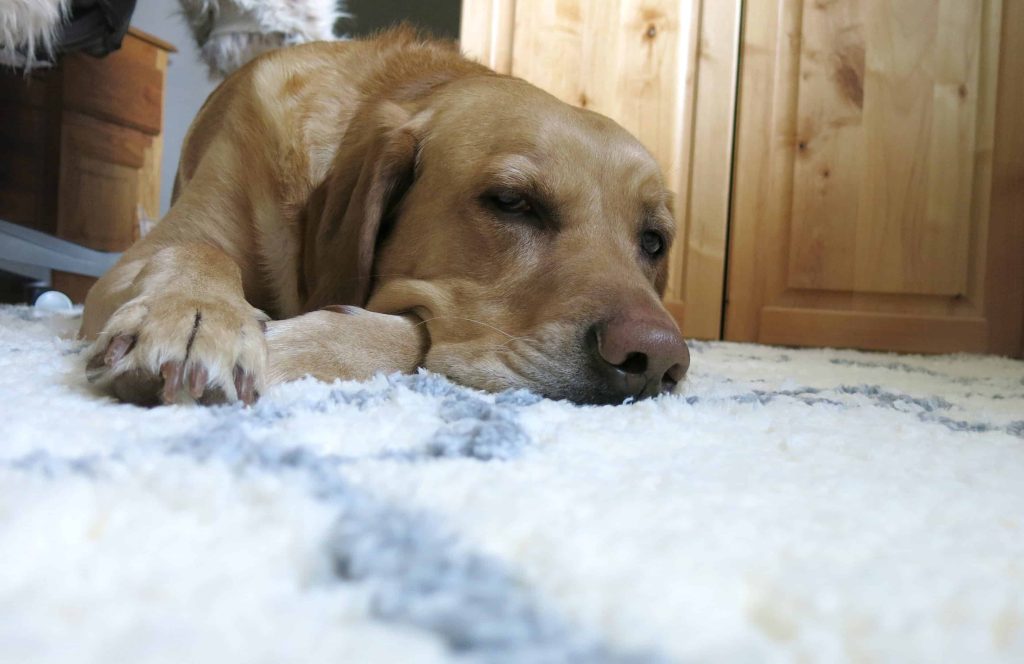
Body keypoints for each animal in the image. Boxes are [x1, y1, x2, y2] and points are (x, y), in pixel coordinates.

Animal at [79, 27, 688, 403]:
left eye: (653, 241)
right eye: (513, 202)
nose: (660, 360)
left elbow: (405, 335)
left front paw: (289, 339)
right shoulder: (123, 268)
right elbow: (196, 249)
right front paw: (196, 314)